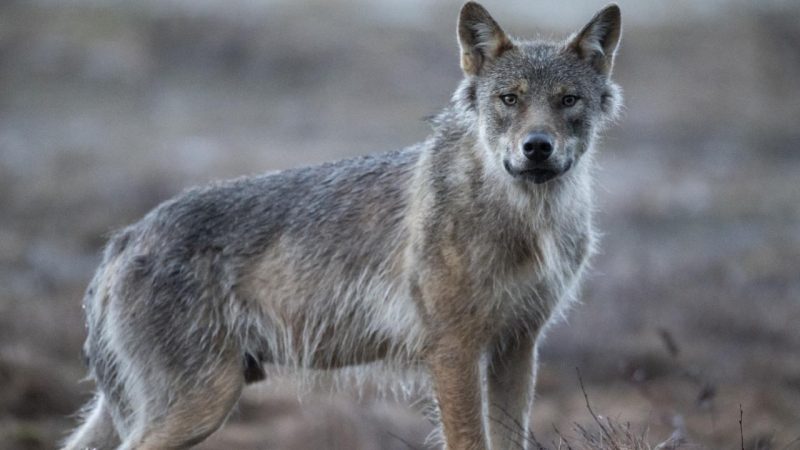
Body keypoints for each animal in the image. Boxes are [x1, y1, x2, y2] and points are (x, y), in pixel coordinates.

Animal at [64, 3, 624, 450]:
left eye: (568, 100)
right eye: (510, 99)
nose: (537, 147)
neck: (526, 219)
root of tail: (124, 239)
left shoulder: (517, 347)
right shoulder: (454, 351)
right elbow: (468, 438)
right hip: (199, 406)